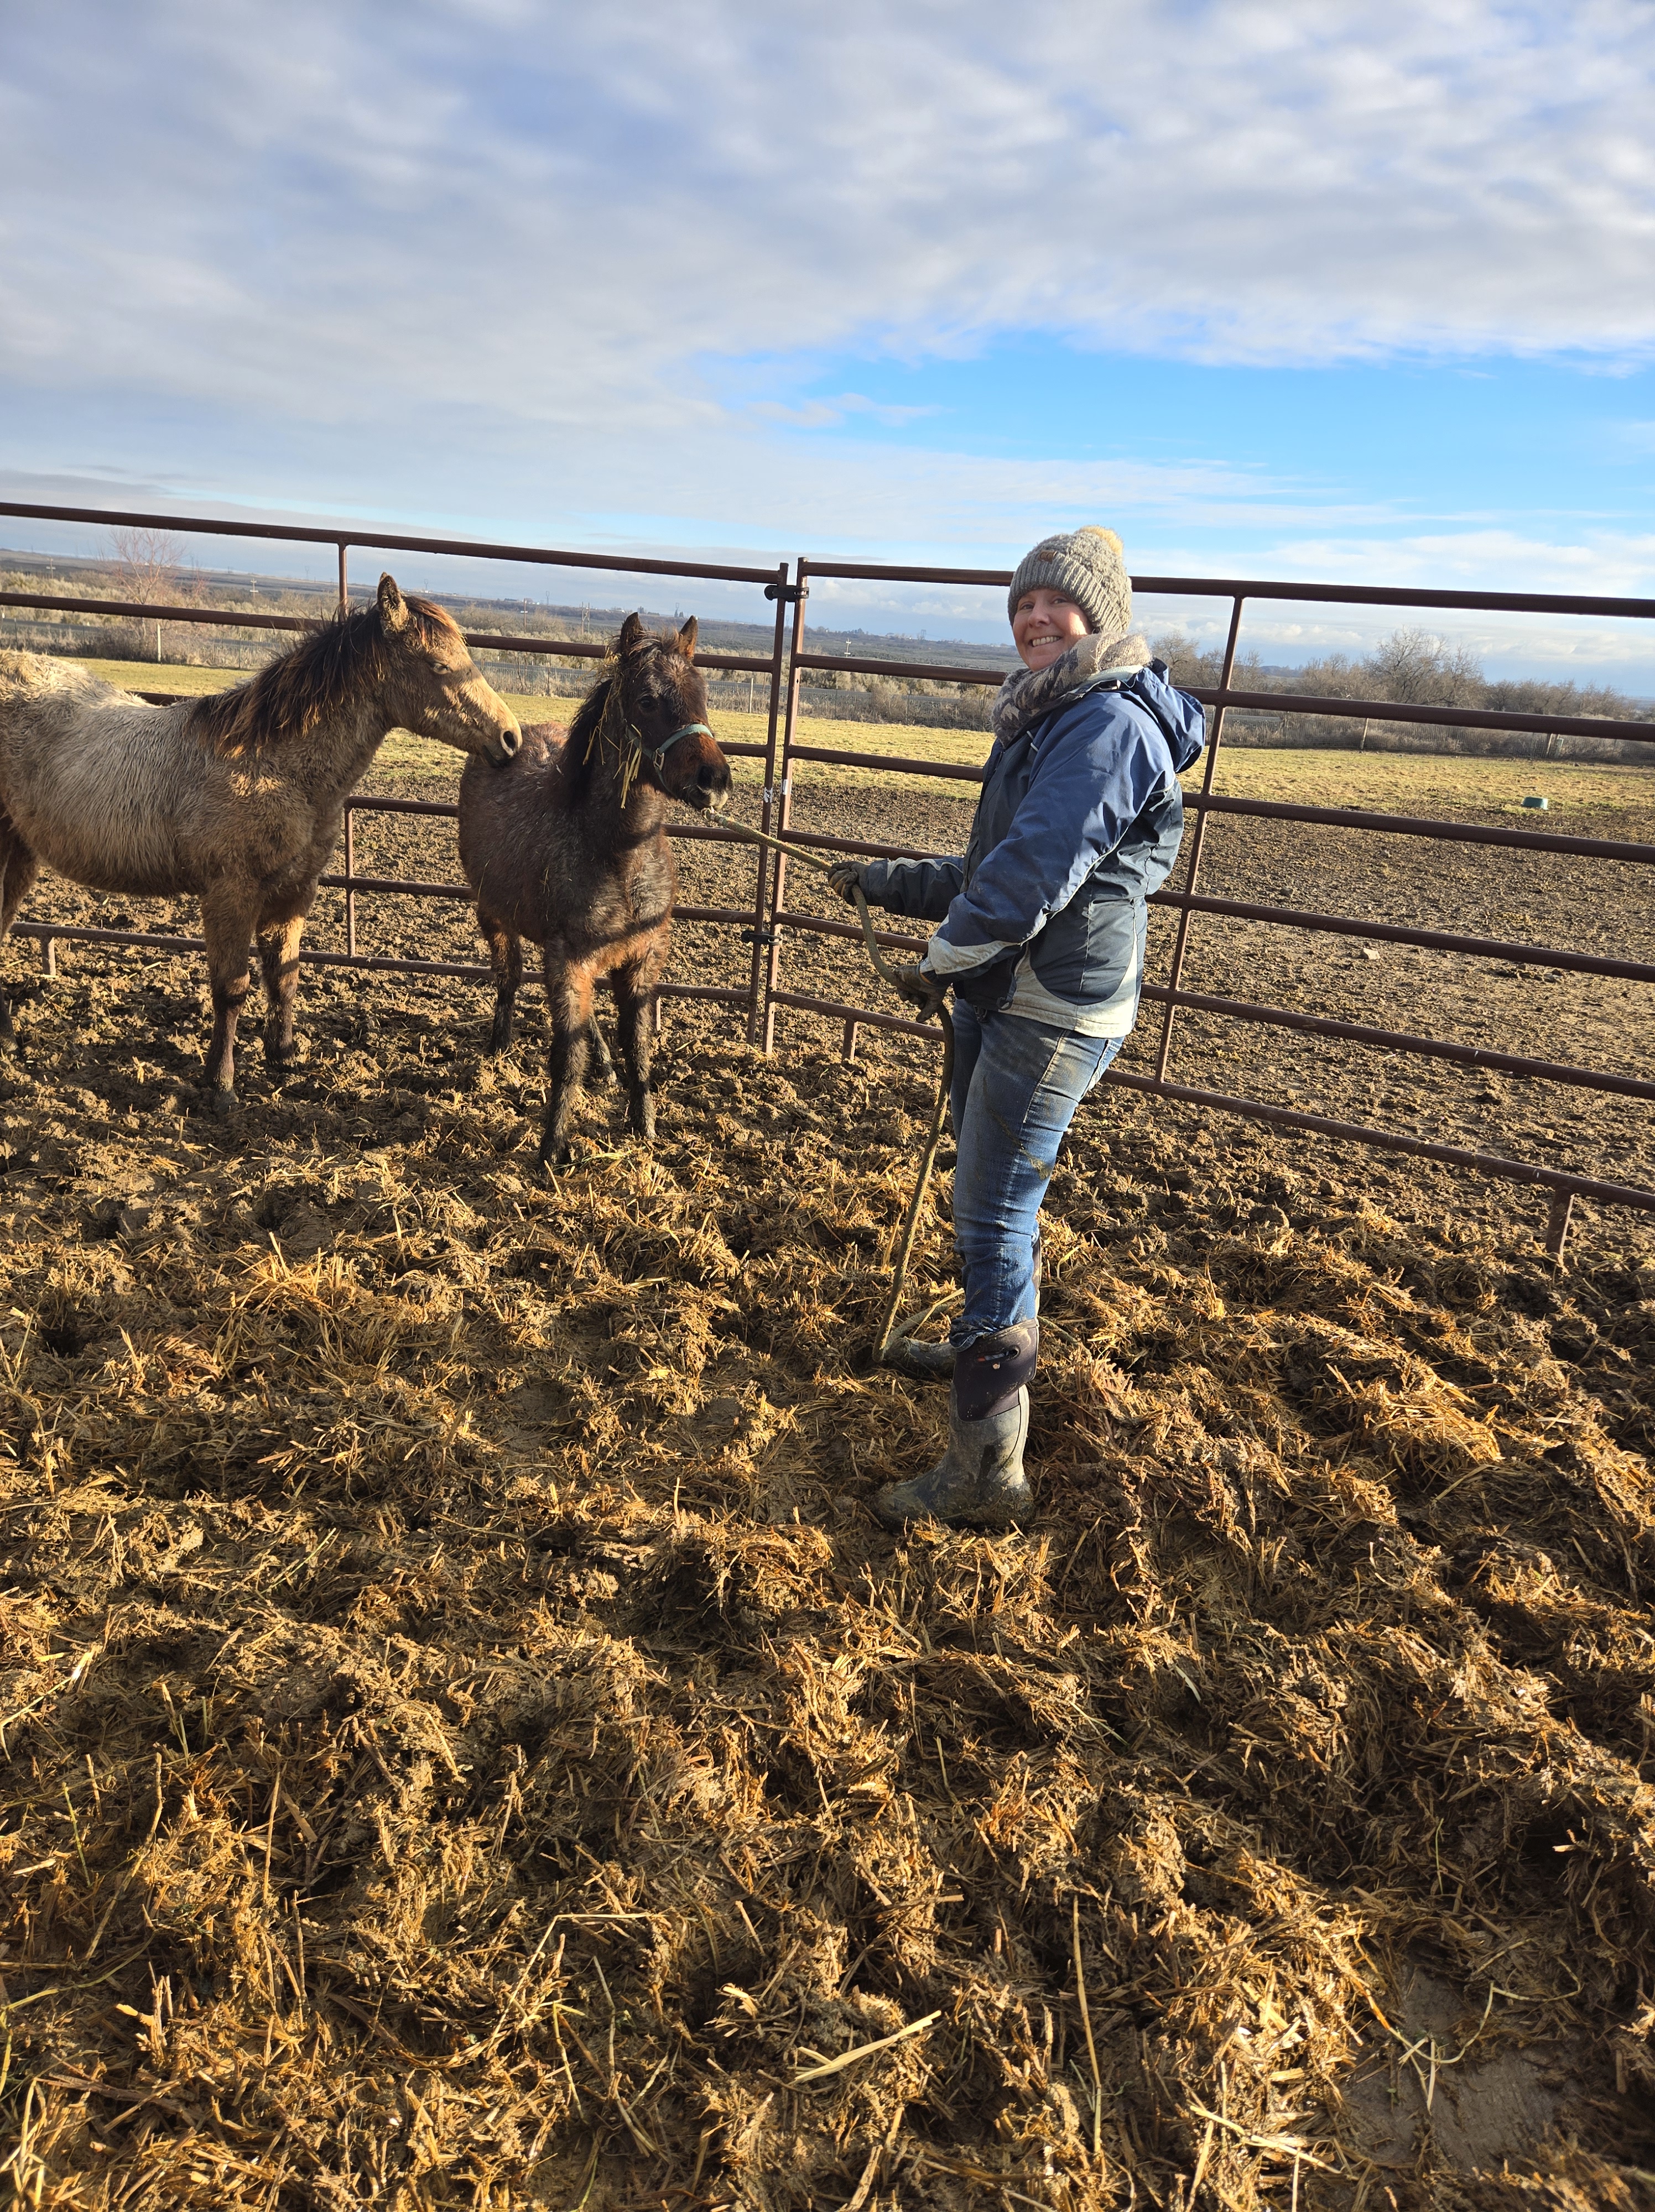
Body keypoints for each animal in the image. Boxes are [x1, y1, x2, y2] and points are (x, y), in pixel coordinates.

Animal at [0, 574, 520, 1108]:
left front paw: (284, 1056)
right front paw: (221, 1084)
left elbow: (284, 974)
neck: (270, 765)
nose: (510, 738)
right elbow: (233, 988)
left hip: (17, 852)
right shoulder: (230, 894)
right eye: (439, 665)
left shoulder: (293, 892)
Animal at [456, 611, 731, 1167]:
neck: (619, 853)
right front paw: (552, 1148)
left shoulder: (643, 958)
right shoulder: (568, 960)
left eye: (702, 695)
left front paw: (645, 1128)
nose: (714, 780)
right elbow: (568, 1054)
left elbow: (637, 1044)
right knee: (508, 977)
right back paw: (498, 1049)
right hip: (494, 916)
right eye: (647, 700)